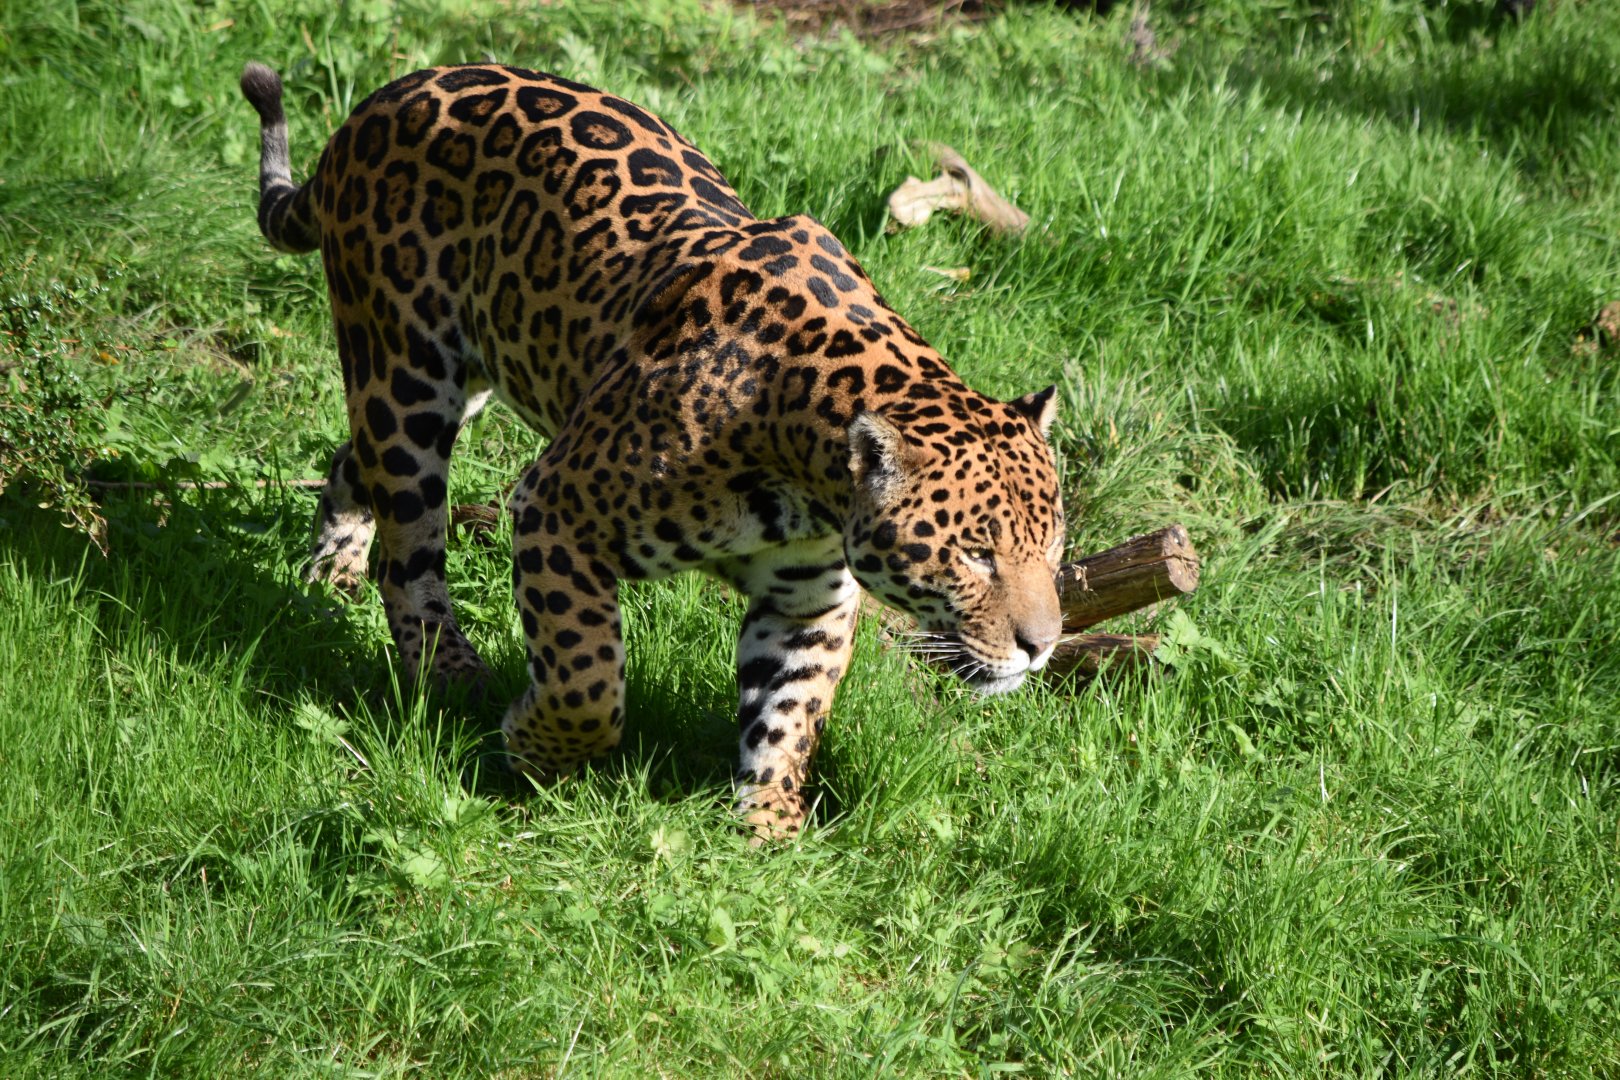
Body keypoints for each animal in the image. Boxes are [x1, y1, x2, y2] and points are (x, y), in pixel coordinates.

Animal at [239, 61, 1065, 839]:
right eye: (974, 556)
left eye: (1053, 552)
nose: (1042, 648)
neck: (807, 466)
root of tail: (382, 99)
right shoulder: (557, 510)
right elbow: (587, 675)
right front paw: (537, 747)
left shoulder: (808, 597)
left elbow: (790, 715)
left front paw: (769, 832)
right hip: (406, 373)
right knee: (409, 552)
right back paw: (450, 674)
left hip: (463, 372)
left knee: (355, 464)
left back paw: (334, 565)